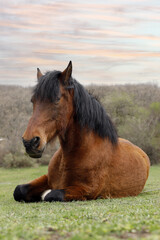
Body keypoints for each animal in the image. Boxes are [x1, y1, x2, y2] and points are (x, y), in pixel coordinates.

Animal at [13, 61, 150, 202]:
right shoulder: (47, 178)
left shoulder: (86, 190)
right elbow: (19, 190)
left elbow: (51, 194)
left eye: (57, 98)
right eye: (33, 100)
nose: (30, 142)